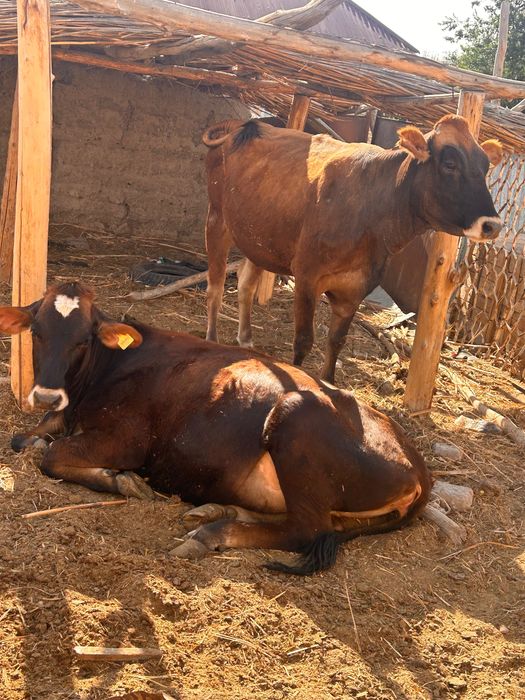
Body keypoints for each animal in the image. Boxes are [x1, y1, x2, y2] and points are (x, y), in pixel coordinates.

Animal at [0, 282, 431, 575]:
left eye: (83, 339)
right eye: (36, 332)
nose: (46, 395)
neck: (102, 374)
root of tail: (418, 465)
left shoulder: (127, 440)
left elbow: (52, 455)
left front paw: (121, 480)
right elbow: (24, 439)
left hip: (296, 416)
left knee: (306, 530)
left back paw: (211, 534)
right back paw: (215, 511)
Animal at [202, 115, 503, 383]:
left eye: (485, 167)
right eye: (450, 163)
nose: (493, 225)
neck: (374, 206)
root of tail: (241, 125)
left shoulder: (356, 287)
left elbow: (337, 341)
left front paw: (329, 383)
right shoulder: (307, 276)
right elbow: (303, 340)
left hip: (258, 239)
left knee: (245, 286)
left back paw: (246, 340)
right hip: (216, 219)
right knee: (215, 287)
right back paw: (211, 339)